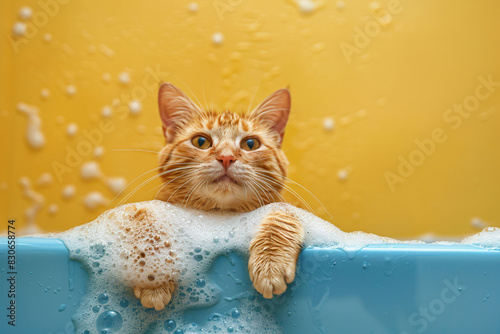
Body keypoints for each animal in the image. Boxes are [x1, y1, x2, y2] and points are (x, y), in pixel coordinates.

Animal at [131, 83, 302, 310]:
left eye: (250, 144)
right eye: (201, 141)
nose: (226, 157)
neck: (218, 216)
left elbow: (283, 215)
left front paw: (271, 262)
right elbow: (145, 216)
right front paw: (152, 272)